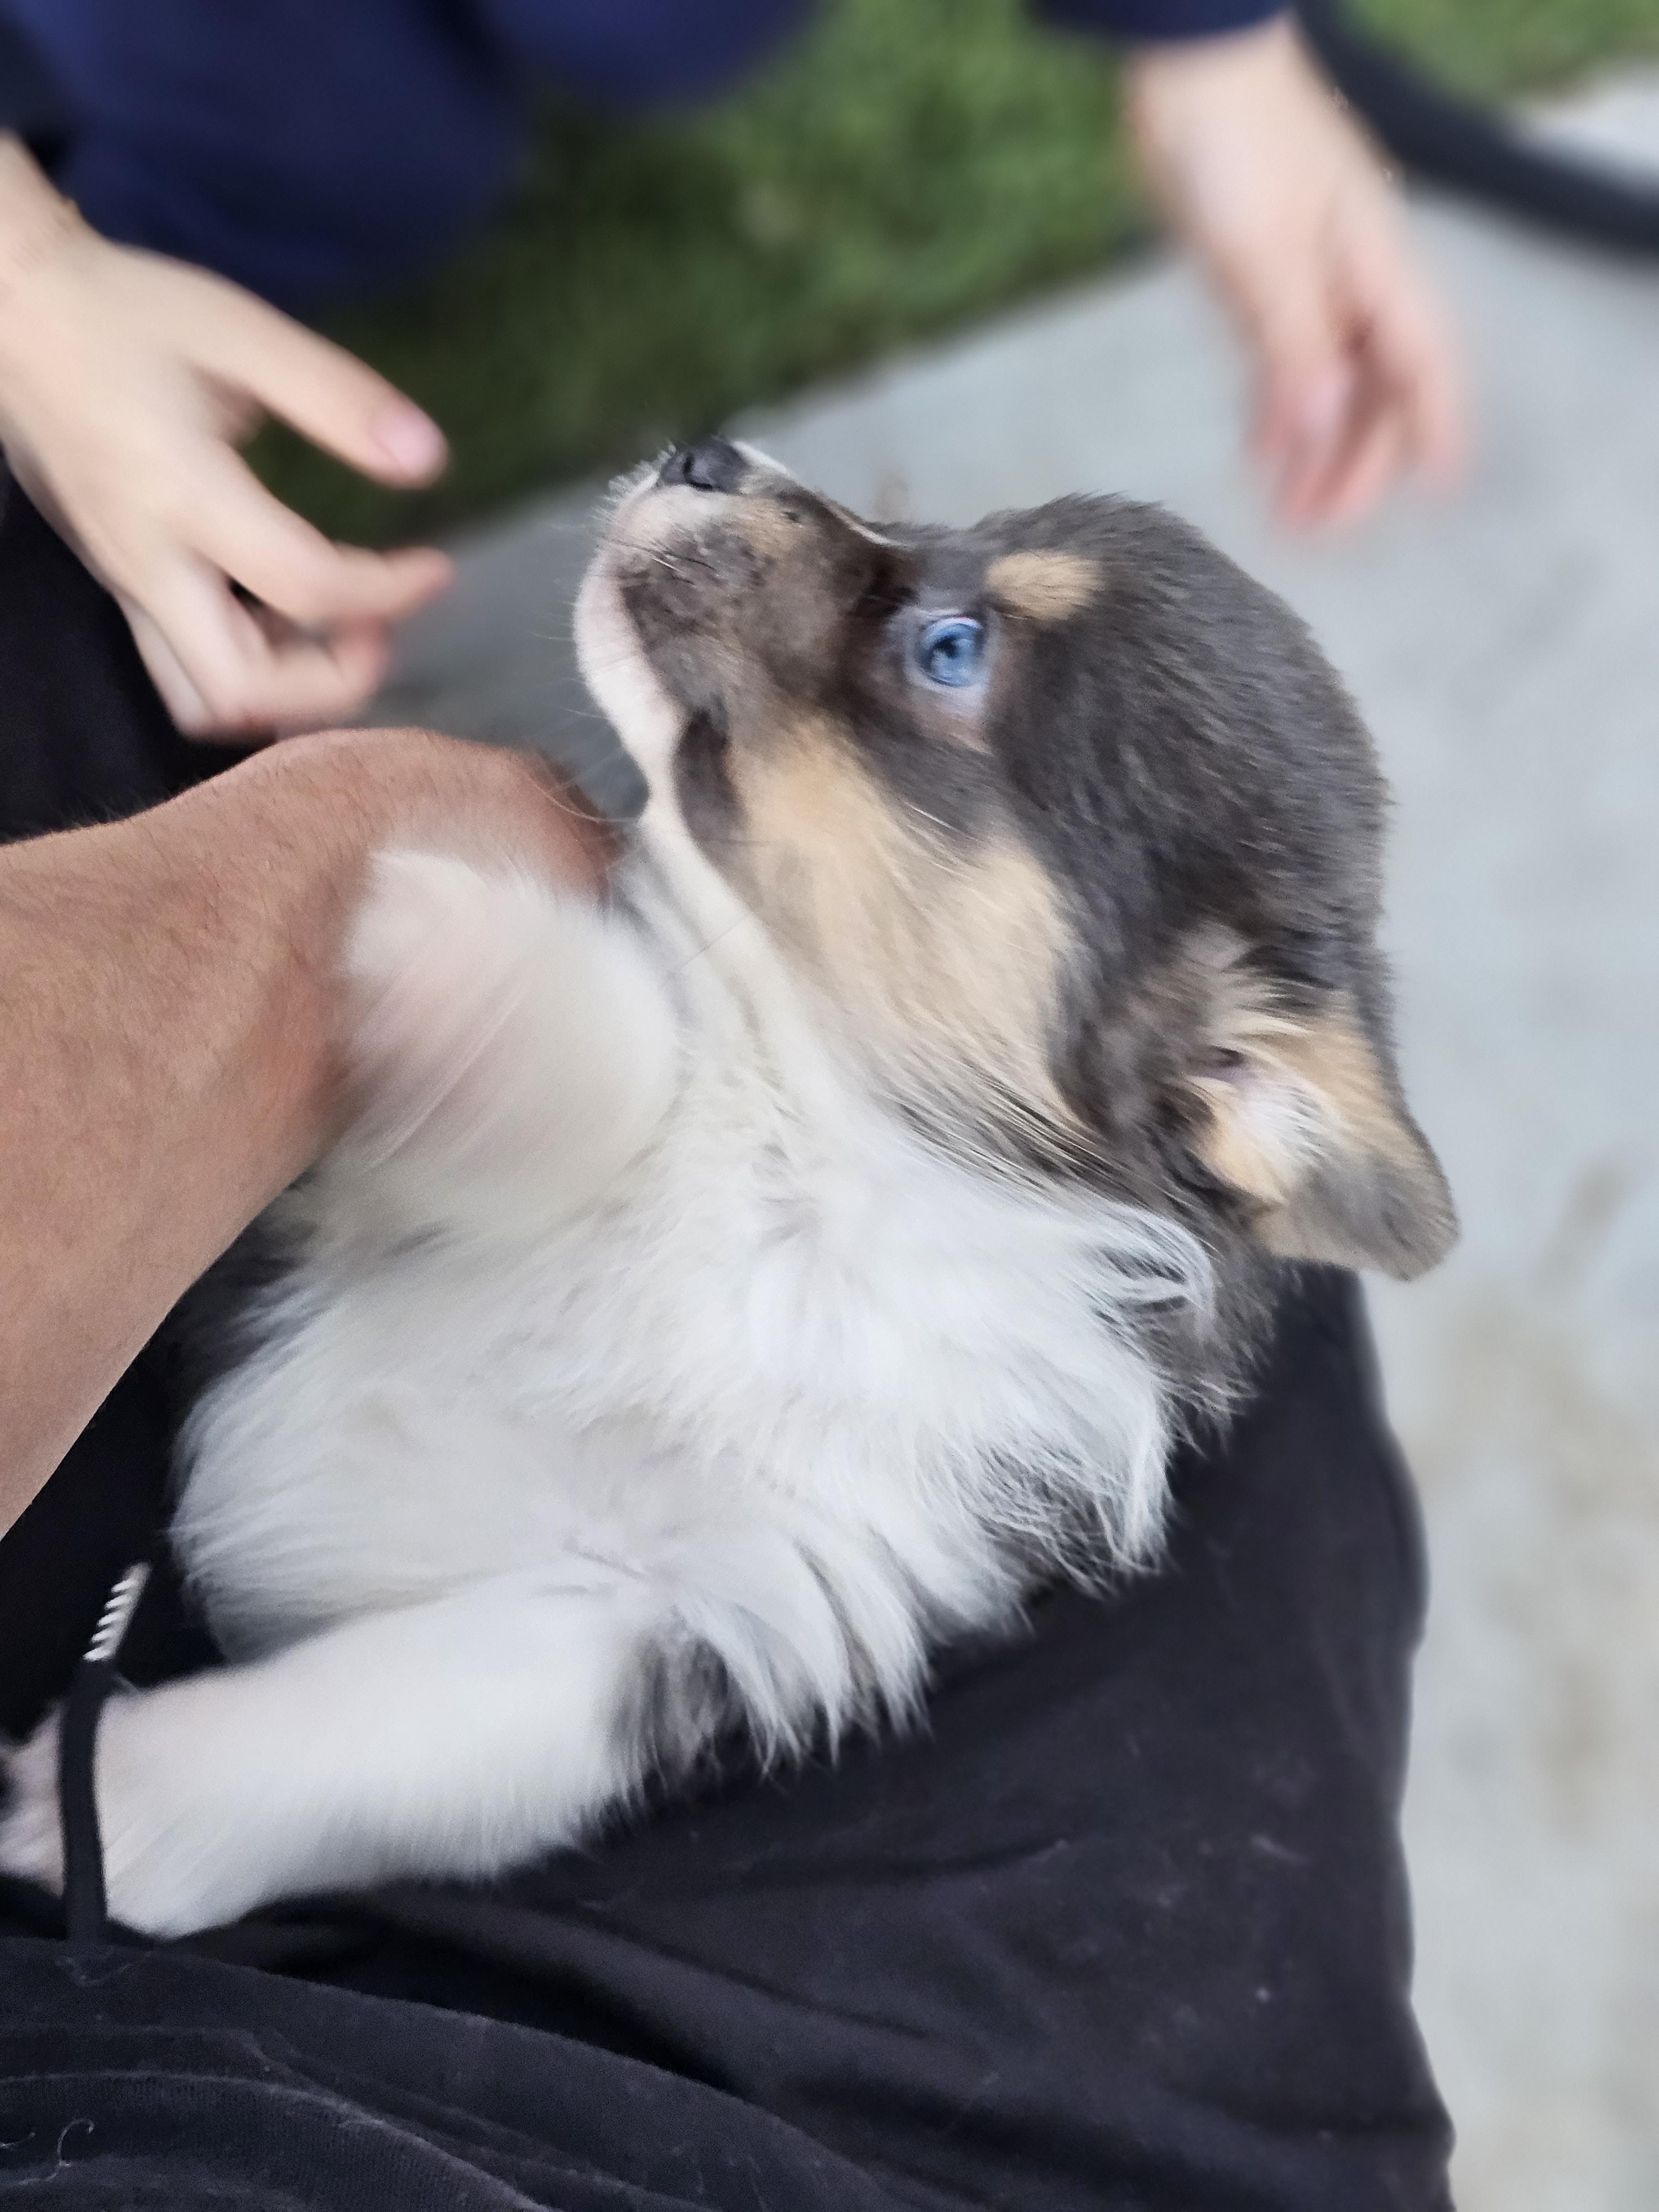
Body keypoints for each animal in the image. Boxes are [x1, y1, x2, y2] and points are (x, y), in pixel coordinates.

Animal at [0, 439, 1455, 1936]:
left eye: (951, 648)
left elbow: (408, 1728)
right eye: (953, 533)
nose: (708, 454)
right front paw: (475, 978)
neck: (799, 1138)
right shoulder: (307, 1199)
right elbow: (627, 1052)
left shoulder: (700, 1607)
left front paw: (101, 1801)